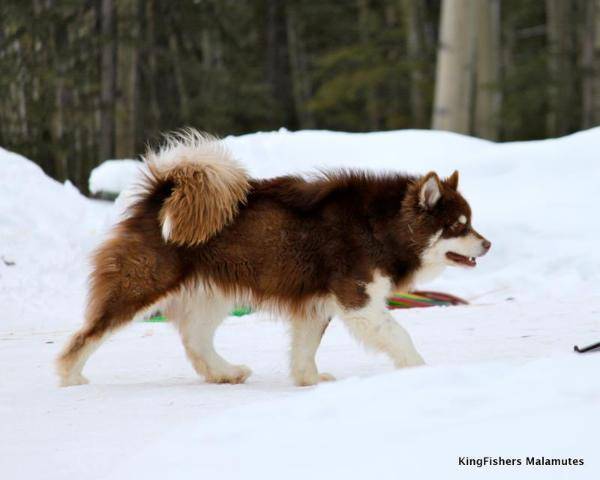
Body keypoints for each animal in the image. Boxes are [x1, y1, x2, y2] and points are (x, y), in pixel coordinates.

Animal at [56, 130, 490, 386]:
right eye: (459, 225)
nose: (487, 245)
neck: (380, 226)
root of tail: (160, 194)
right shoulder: (358, 301)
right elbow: (400, 335)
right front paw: (420, 370)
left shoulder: (317, 304)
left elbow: (305, 349)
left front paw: (308, 380)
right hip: (141, 287)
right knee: (87, 335)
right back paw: (69, 376)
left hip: (213, 294)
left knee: (195, 341)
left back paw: (225, 372)